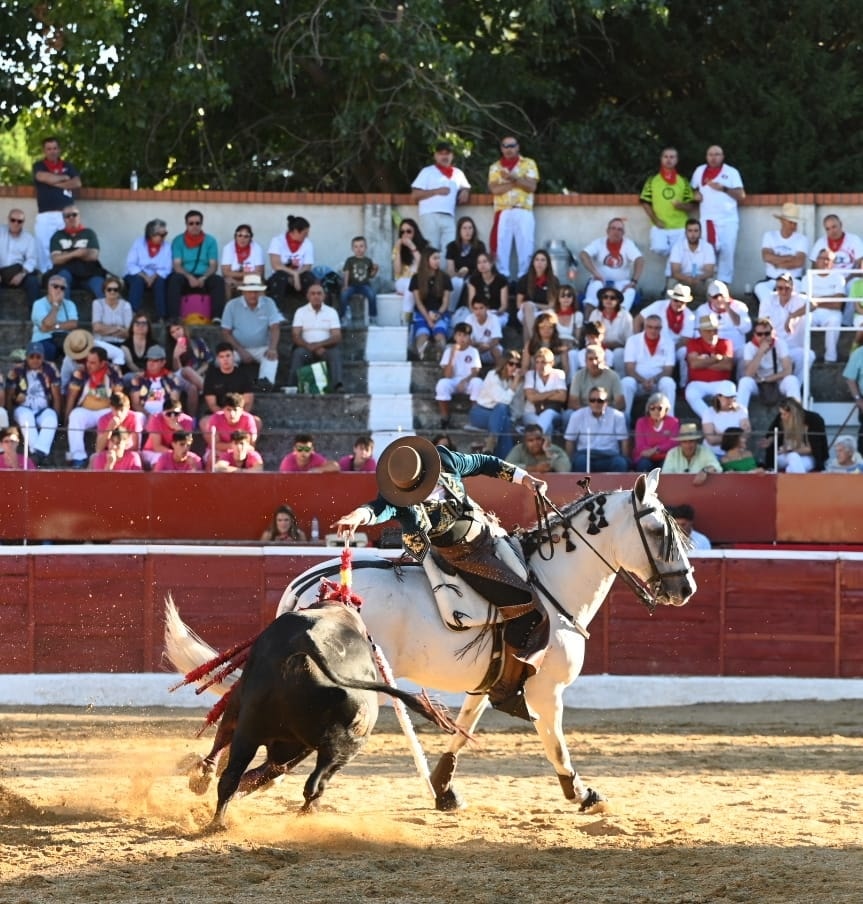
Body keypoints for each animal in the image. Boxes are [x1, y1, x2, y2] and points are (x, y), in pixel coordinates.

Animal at [189, 608, 460, 828]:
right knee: (310, 782)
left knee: (239, 776)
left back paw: (219, 821)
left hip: (256, 730)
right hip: (342, 746)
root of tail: (308, 647)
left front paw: (205, 777)